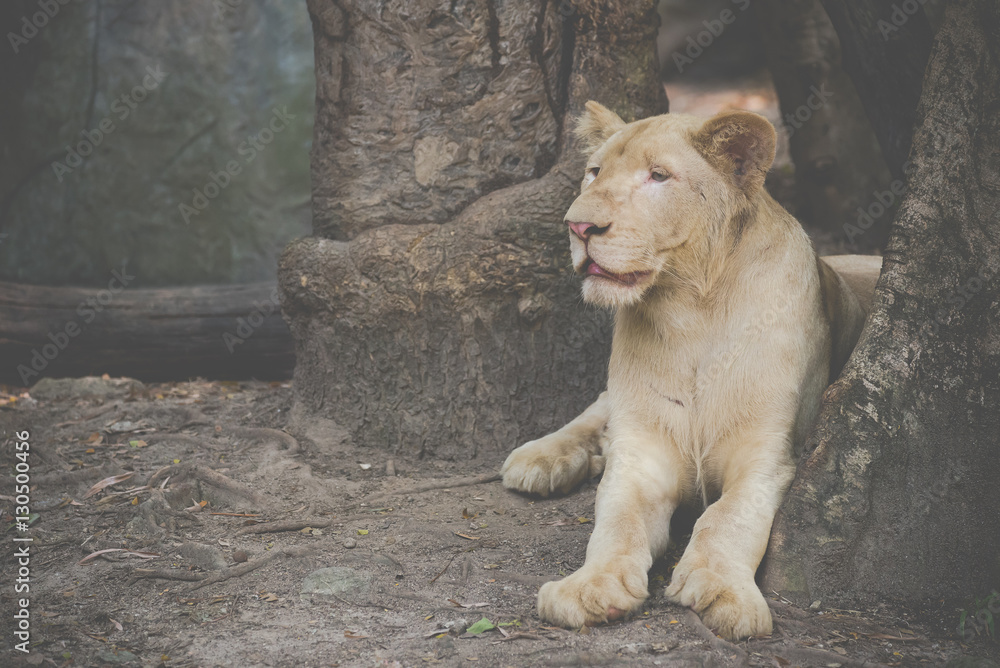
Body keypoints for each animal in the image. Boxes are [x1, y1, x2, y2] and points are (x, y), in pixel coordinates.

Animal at [501, 101, 881, 640]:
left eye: (658, 176)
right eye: (594, 172)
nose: (577, 227)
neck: (689, 314)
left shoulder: (768, 454)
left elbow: (728, 518)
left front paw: (722, 590)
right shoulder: (641, 453)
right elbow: (616, 521)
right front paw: (589, 587)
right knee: (598, 409)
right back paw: (541, 458)